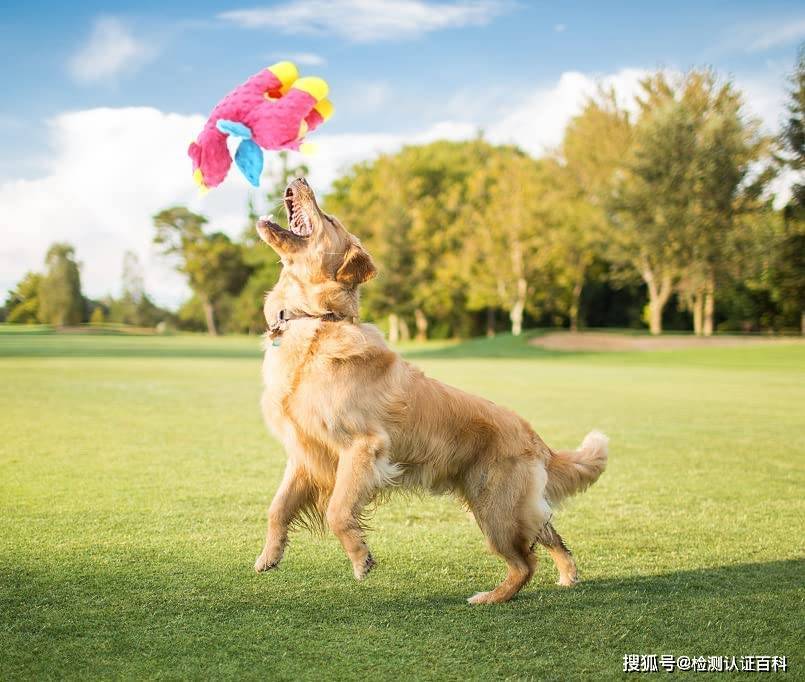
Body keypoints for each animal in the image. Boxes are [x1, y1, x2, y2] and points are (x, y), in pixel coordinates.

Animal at [254, 178, 608, 604]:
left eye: (330, 219)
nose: (301, 179)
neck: (317, 322)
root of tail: (536, 438)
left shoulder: (363, 447)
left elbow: (337, 510)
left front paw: (360, 558)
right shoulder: (305, 453)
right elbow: (277, 508)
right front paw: (269, 556)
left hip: (495, 510)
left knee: (525, 563)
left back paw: (490, 597)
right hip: (508, 506)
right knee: (549, 533)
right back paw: (568, 576)